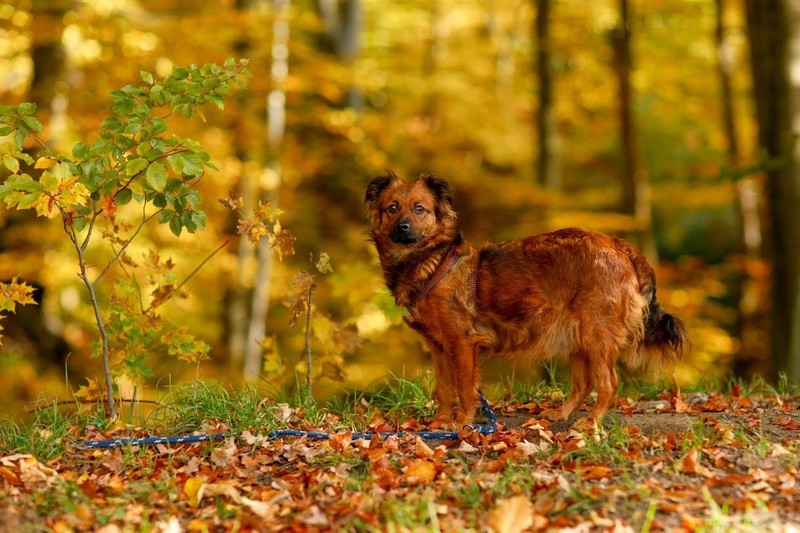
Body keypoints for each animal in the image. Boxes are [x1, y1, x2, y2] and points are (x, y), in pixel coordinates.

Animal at [368, 172, 688, 430]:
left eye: (419, 209)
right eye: (392, 208)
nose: (403, 227)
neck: (431, 261)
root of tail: (616, 244)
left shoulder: (461, 344)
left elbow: (464, 389)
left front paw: (460, 424)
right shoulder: (439, 346)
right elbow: (445, 389)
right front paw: (440, 423)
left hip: (596, 334)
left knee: (608, 383)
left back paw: (591, 422)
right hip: (578, 336)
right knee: (583, 384)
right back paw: (562, 413)